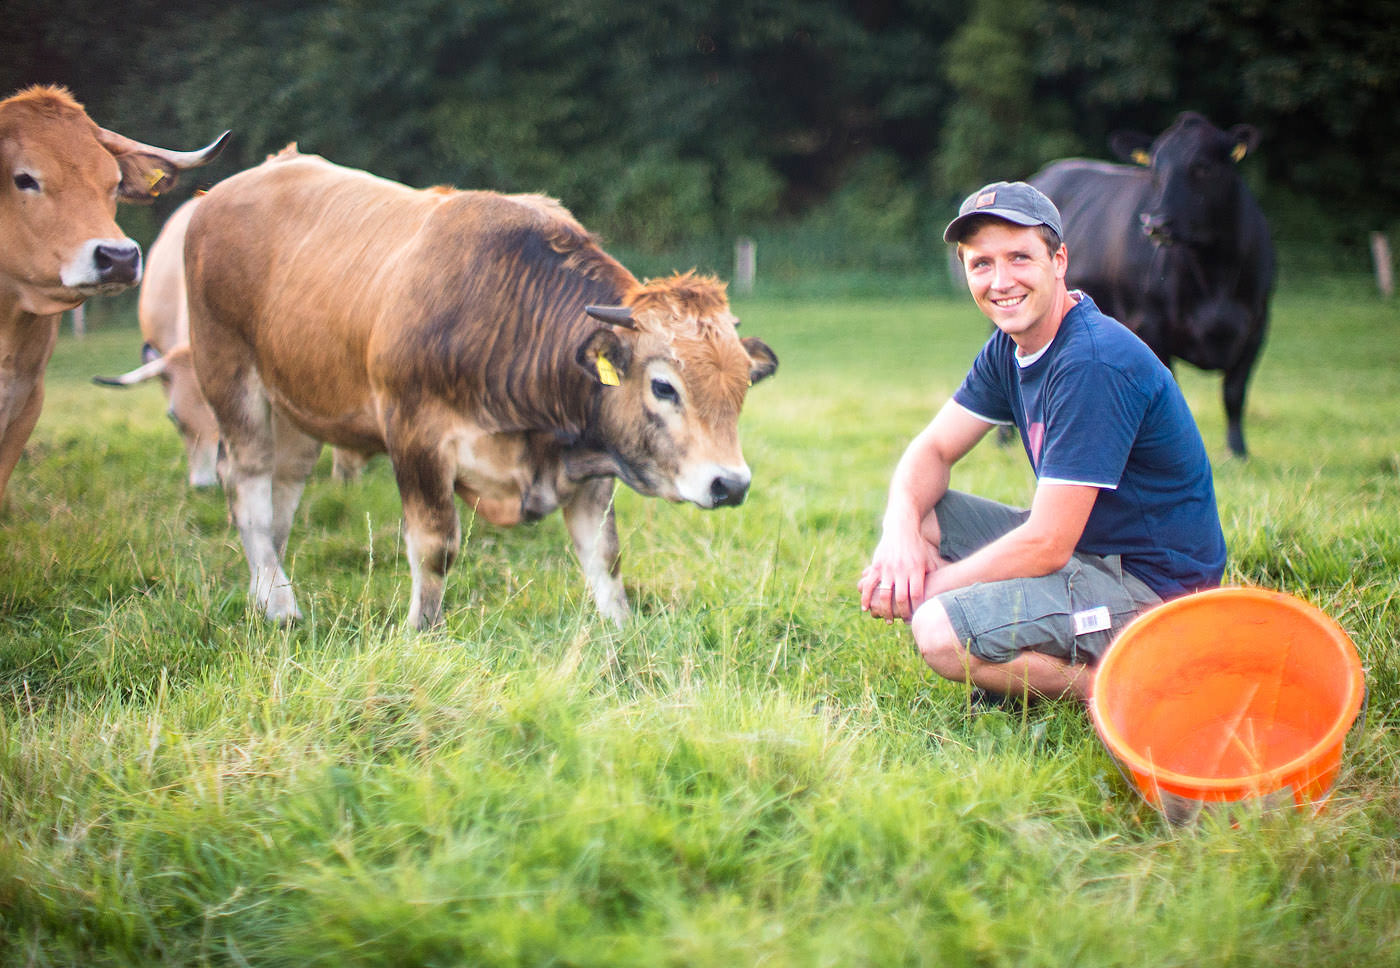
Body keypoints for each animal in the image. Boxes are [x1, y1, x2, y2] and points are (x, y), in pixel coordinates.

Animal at [184, 143, 778, 627]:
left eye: (743, 388)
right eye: (663, 387)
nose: (730, 484)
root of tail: (221, 193)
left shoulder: (594, 457)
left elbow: (604, 557)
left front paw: (622, 635)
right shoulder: (415, 439)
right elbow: (435, 547)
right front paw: (421, 633)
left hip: (297, 403)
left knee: (283, 487)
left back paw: (269, 589)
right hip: (230, 377)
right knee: (249, 482)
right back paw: (278, 604)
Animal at [1030, 113, 1271, 459]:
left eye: (1202, 166)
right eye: (1155, 170)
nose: (1156, 223)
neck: (1213, 273)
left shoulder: (1257, 325)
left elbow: (1234, 391)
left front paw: (1238, 452)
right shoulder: (1150, 323)